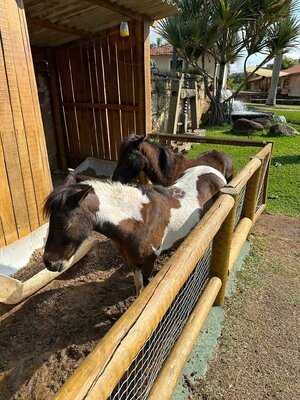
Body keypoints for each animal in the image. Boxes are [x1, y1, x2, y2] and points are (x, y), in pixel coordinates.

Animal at [42, 165, 225, 294]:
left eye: (65, 224)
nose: (49, 263)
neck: (138, 222)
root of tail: (215, 172)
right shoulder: (131, 260)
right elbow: (139, 287)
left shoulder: (149, 260)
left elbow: (146, 284)